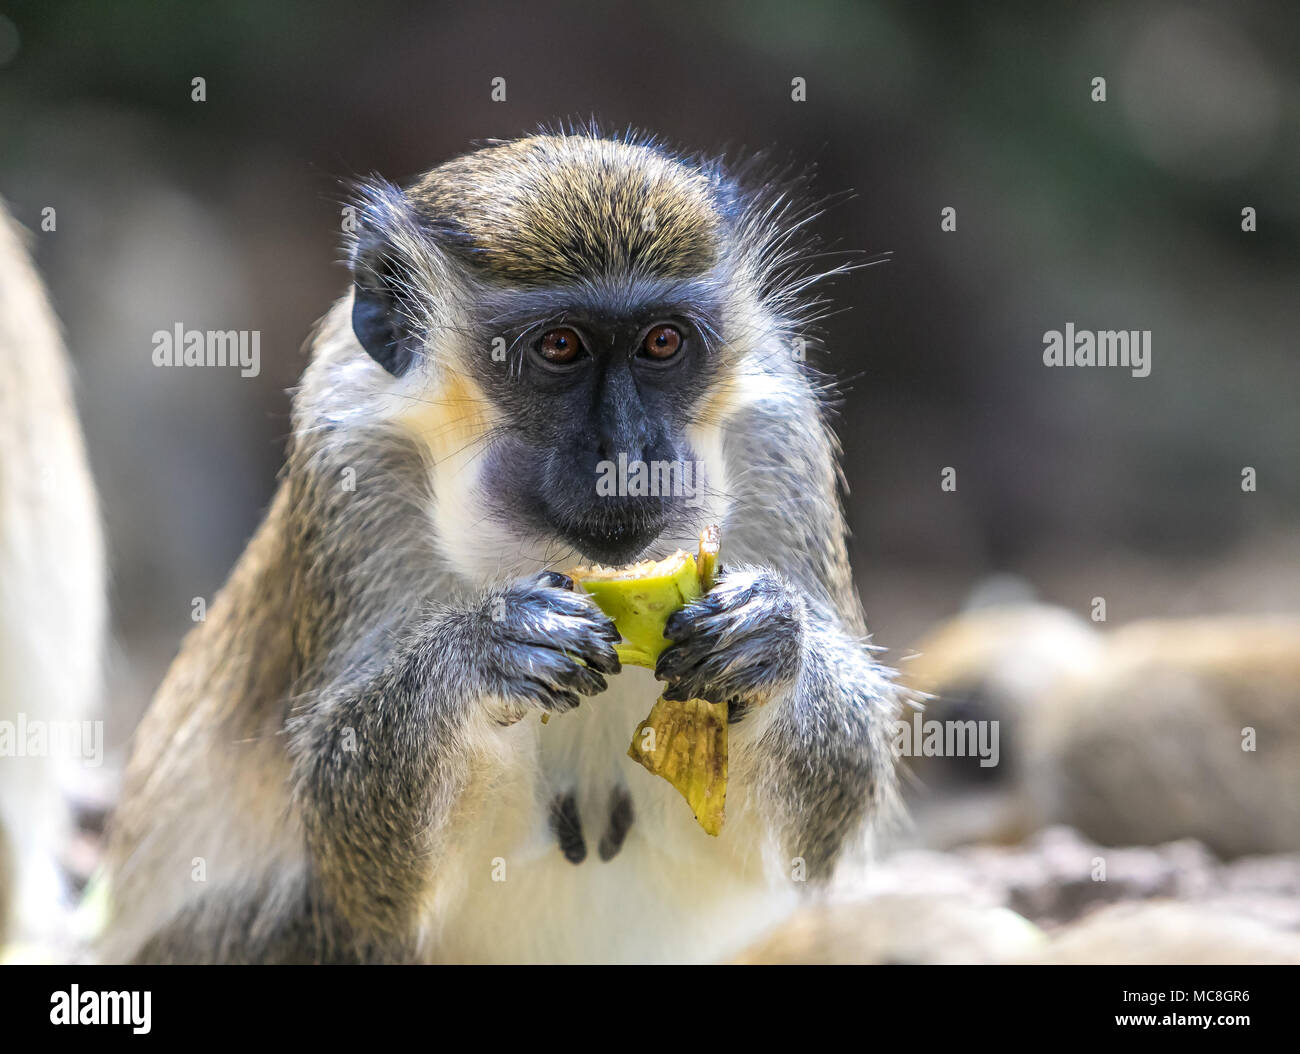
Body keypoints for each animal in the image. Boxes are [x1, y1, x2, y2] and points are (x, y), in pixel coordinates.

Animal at [100, 130, 905, 964]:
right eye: (560, 347)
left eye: (662, 342)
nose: (629, 451)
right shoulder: (347, 452)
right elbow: (356, 853)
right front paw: (485, 651)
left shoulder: (780, 433)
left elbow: (813, 830)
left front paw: (768, 638)